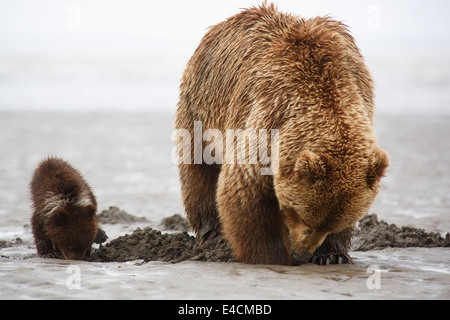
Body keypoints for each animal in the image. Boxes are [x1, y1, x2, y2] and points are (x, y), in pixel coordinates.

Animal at [174, 3, 388, 264]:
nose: (301, 254)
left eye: (328, 226)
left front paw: (331, 255)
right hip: (202, 106)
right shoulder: (268, 115)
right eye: (301, 216)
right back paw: (210, 233)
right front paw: (270, 256)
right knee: (199, 169)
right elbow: (245, 192)